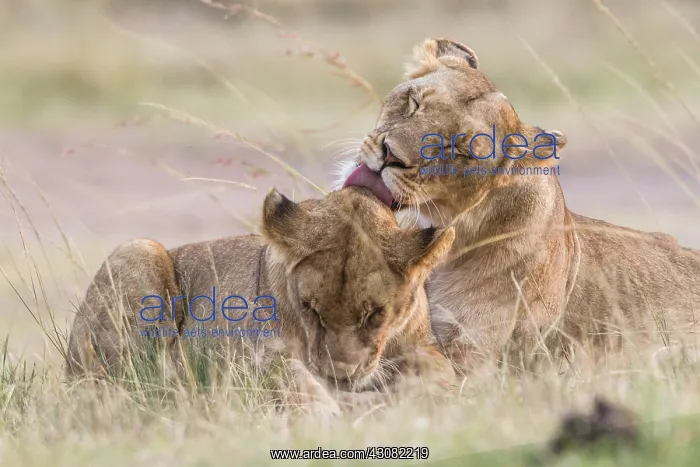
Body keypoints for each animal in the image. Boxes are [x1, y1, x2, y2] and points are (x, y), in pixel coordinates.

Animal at [65, 186, 456, 413]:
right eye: (309, 309)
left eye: (376, 314)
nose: (339, 375)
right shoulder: (255, 358)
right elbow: (295, 380)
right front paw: (326, 411)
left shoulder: (422, 345)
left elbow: (442, 372)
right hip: (139, 251)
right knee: (133, 381)